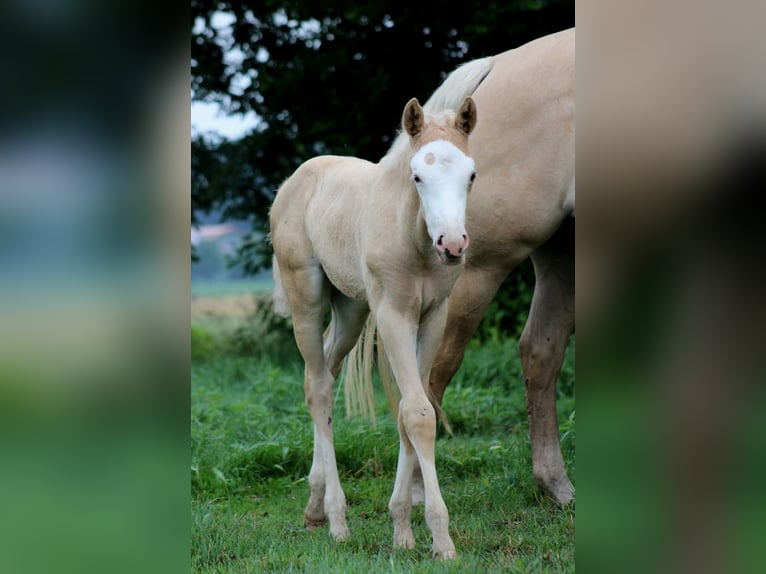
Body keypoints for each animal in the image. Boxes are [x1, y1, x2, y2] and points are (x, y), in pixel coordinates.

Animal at [269, 96, 478, 560]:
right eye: (417, 176)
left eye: (471, 175)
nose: (453, 245)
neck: (413, 237)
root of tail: (293, 180)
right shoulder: (393, 315)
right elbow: (418, 413)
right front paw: (441, 539)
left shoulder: (432, 317)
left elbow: (407, 409)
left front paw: (402, 529)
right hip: (306, 298)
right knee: (318, 388)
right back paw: (337, 519)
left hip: (350, 310)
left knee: (324, 374)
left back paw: (315, 506)